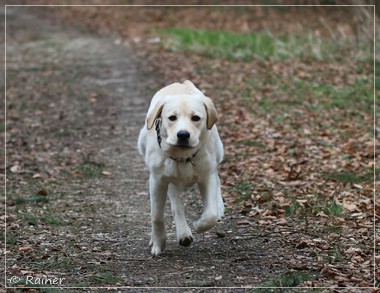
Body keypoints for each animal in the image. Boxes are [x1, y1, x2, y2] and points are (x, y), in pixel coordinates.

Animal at [138, 80, 224, 256]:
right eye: (172, 118)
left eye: (196, 118)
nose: (183, 134)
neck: (182, 156)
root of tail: (181, 83)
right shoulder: (157, 180)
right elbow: (156, 216)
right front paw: (158, 243)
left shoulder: (206, 176)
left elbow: (210, 214)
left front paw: (199, 225)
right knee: (176, 204)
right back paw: (183, 234)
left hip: (218, 152)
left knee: (217, 179)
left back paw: (219, 208)